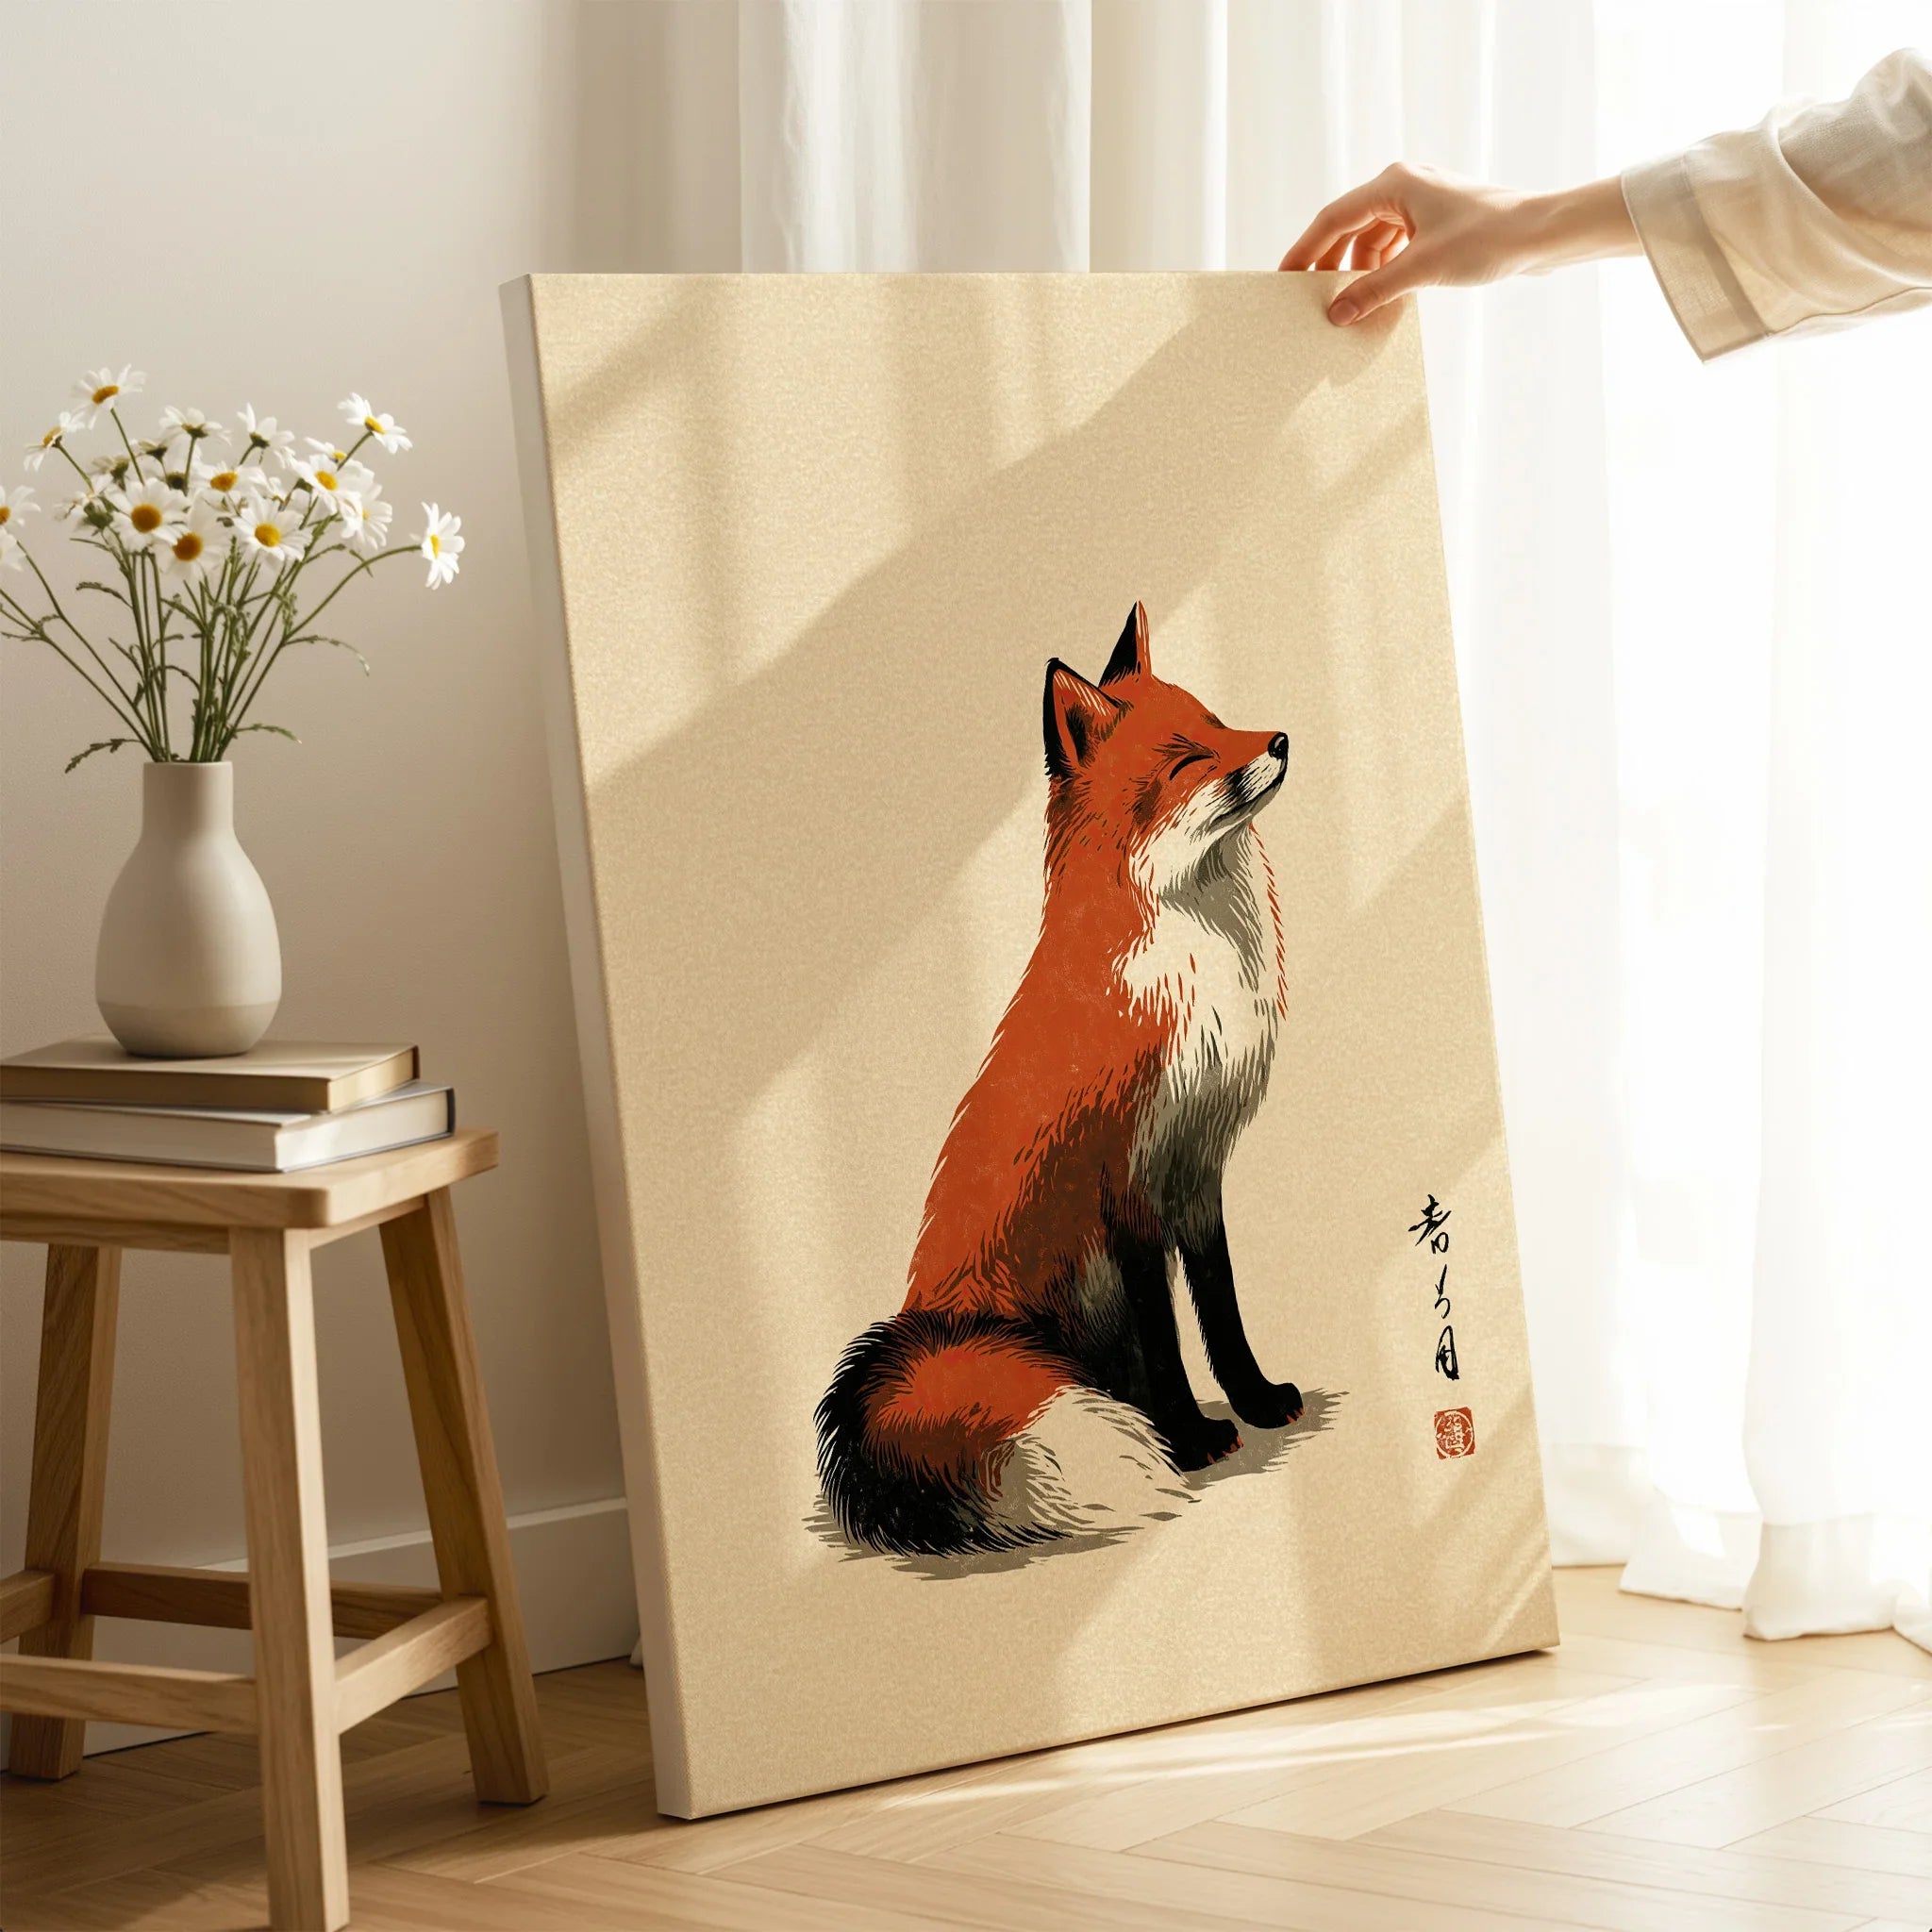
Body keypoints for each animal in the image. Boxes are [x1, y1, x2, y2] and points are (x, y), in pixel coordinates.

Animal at [816, 602, 1303, 1557]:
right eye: (1187, 758)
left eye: (1219, 722)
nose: (1280, 739)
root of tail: (932, 1338)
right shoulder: (1123, 1181)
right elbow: (1167, 1330)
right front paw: (1191, 1440)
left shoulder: (1196, 1169)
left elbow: (1221, 1310)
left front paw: (1259, 1403)